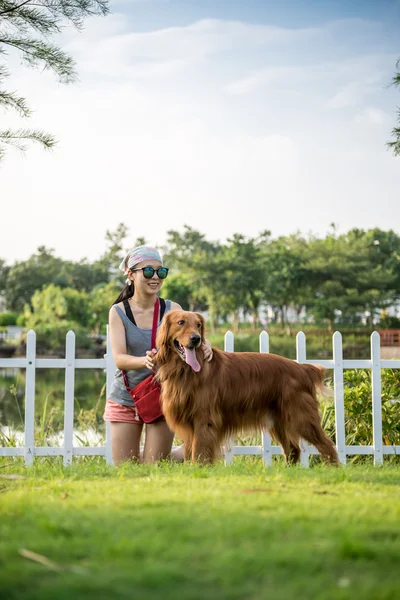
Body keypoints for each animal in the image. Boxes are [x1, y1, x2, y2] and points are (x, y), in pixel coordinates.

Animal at [155, 312, 340, 466]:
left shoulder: (204, 418)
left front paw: (199, 469)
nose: (196, 339)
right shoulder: (190, 421)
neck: (185, 370)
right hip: (278, 421)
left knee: (326, 444)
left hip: (300, 416)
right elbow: (190, 451)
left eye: (198, 324)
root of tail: (303, 368)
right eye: (181, 322)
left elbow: (199, 451)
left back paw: (334, 469)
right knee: (293, 448)